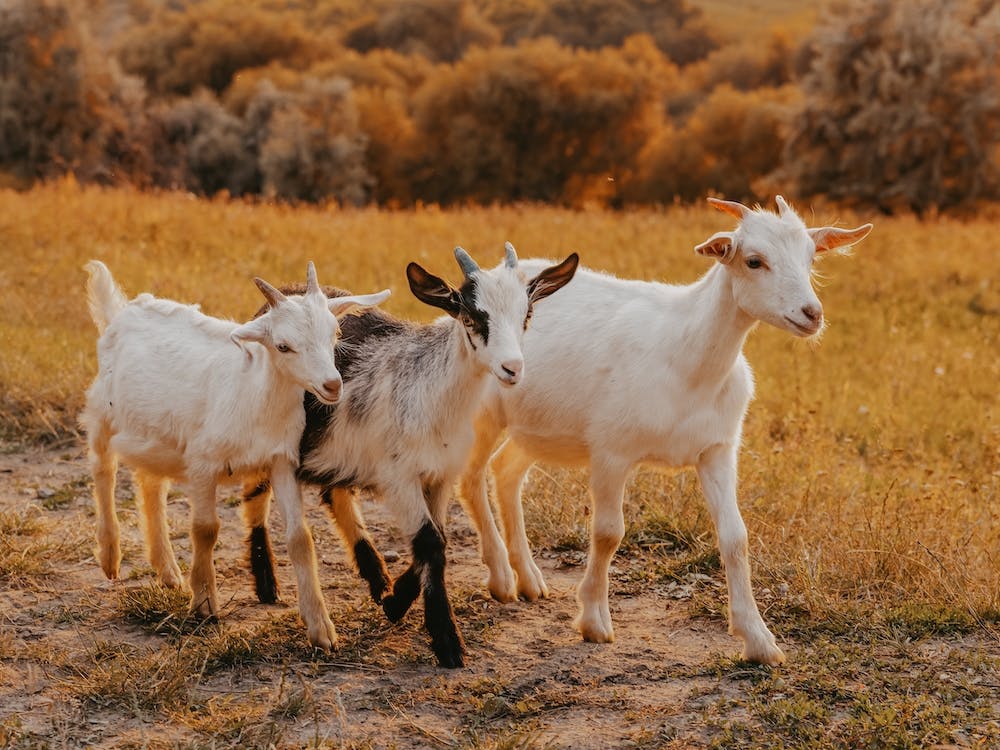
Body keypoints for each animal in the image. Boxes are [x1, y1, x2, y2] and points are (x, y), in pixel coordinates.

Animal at [80, 260, 389, 649]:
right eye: (283, 345)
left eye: (334, 333)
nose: (332, 385)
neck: (253, 392)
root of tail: (121, 312)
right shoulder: (202, 463)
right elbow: (205, 530)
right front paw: (204, 605)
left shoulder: (282, 461)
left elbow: (300, 539)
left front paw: (321, 628)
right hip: (102, 414)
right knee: (102, 470)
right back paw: (110, 554)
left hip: (158, 435)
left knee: (150, 484)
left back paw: (167, 570)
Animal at [239, 244, 578, 667]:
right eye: (471, 316)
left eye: (526, 315)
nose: (511, 368)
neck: (432, 390)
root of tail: (281, 294)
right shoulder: (399, 476)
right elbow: (430, 542)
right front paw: (448, 642)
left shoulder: (438, 474)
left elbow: (437, 537)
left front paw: (395, 600)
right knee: (257, 492)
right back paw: (267, 582)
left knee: (336, 493)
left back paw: (376, 575)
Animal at [457, 197, 872, 665]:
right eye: (754, 260)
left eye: (810, 258)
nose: (811, 314)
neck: (686, 357)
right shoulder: (612, 450)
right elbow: (608, 532)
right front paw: (594, 621)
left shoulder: (717, 450)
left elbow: (736, 537)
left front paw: (759, 640)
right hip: (483, 414)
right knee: (470, 477)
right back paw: (501, 579)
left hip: (541, 426)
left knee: (506, 471)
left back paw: (528, 579)